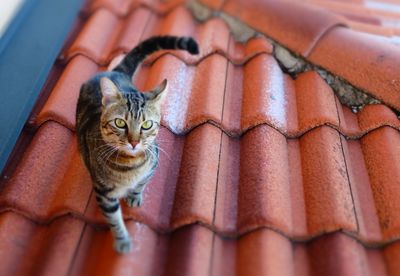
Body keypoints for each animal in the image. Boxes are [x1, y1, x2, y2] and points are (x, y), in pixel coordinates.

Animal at [75, 35, 198, 253]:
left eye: (147, 124)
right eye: (120, 123)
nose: (134, 142)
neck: (129, 166)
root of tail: (114, 71)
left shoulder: (154, 162)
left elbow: (142, 182)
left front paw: (134, 195)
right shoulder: (104, 193)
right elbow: (114, 220)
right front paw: (122, 240)